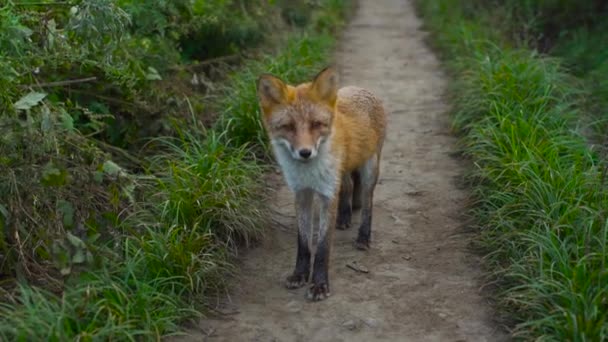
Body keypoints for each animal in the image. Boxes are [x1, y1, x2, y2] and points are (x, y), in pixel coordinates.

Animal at [256, 66, 384, 300]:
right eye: (288, 127)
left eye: (316, 124)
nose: (305, 152)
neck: (309, 173)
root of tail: (359, 88)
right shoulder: (301, 194)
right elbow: (304, 243)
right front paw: (299, 274)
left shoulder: (327, 195)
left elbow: (323, 247)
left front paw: (319, 284)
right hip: (343, 173)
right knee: (348, 187)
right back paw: (344, 217)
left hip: (370, 171)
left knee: (367, 204)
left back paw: (363, 237)